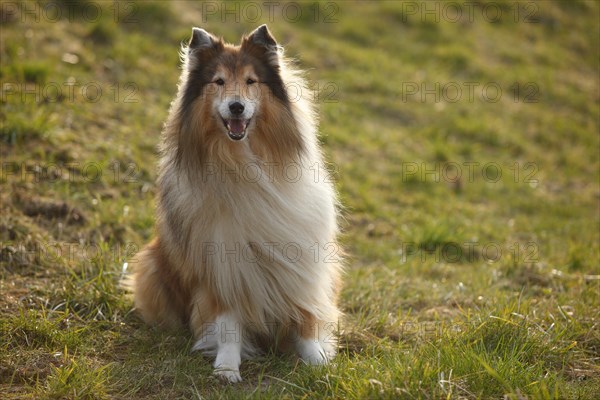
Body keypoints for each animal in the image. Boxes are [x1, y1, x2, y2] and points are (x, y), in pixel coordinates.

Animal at [132, 25, 344, 382]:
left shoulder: (302, 257)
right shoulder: (222, 264)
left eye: (250, 81)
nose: (236, 107)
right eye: (218, 81)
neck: (244, 163)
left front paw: (319, 363)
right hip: (149, 264)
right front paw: (227, 367)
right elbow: (228, 324)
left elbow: (305, 316)